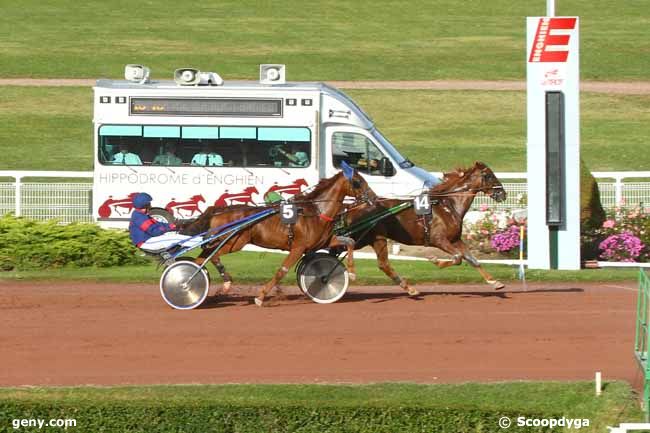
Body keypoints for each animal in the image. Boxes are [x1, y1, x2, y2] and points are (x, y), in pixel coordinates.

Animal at [180, 164, 378, 306]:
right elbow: (282, 271)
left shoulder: (323, 242)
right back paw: (209, 282)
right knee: (212, 256)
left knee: (202, 258)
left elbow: (350, 242)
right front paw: (260, 297)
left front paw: (350, 273)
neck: (316, 211)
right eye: (358, 181)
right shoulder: (298, 247)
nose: (374, 198)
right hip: (234, 242)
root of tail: (218, 210)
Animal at [340, 161, 506, 294]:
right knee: (379, 262)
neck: (448, 205)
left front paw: (495, 282)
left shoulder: (455, 239)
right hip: (375, 237)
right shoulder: (438, 239)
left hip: (368, 238)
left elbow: (472, 259)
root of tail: (353, 206)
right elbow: (457, 257)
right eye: (489, 175)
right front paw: (435, 260)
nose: (502, 193)